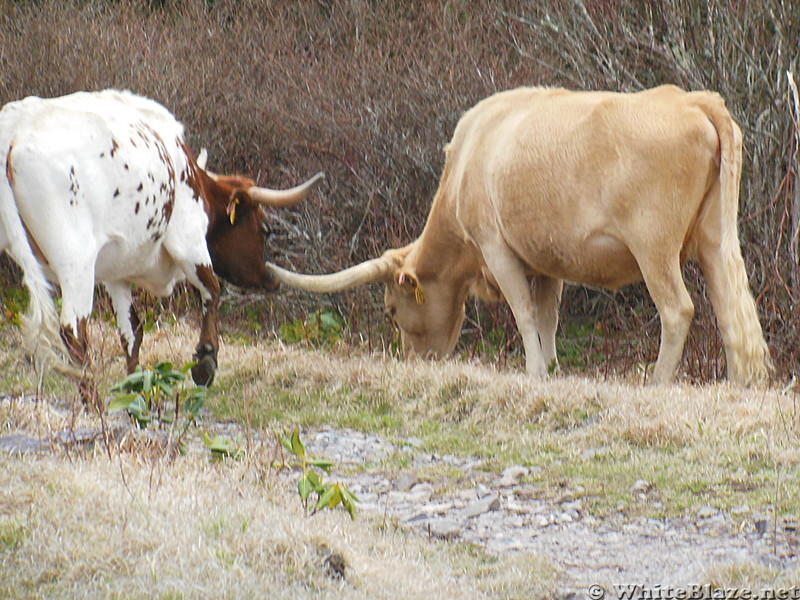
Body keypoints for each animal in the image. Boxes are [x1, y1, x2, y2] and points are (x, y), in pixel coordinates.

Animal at [266, 84, 772, 384]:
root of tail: (692, 99)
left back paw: (658, 383)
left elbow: (525, 314)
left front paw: (534, 375)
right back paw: (737, 385)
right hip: (716, 241)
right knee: (733, 313)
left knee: (678, 310)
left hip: (654, 249)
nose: (415, 363)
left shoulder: (496, 247)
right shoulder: (548, 260)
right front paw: (550, 369)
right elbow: (548, 317)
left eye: (392, 310)